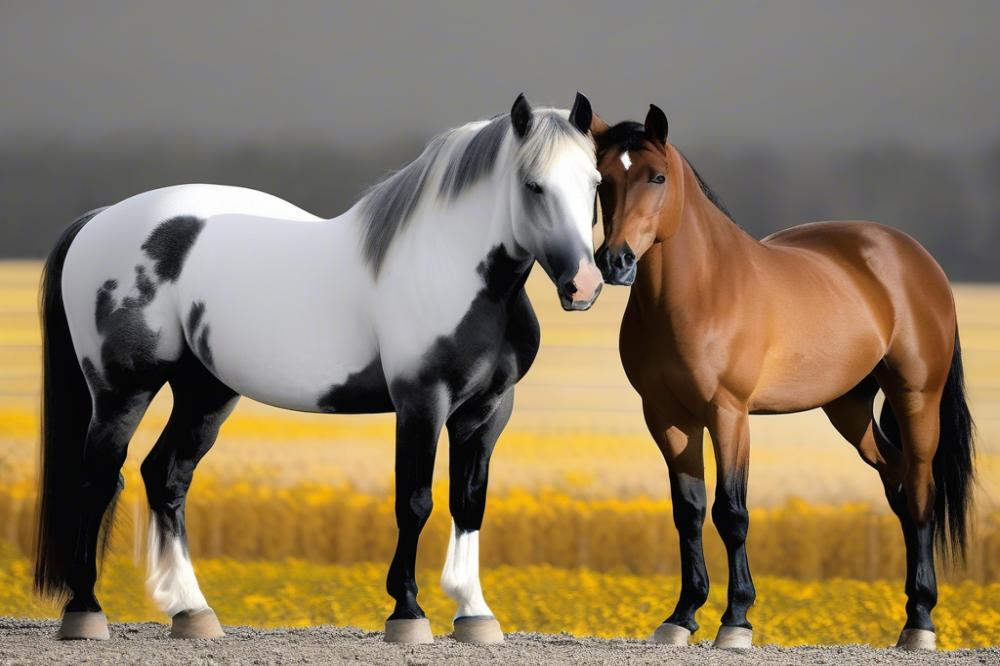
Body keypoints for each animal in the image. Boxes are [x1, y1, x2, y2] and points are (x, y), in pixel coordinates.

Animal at [34, 92, 604, 644]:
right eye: (533, 185)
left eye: (595, 183)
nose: (584, 285)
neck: (456, 271)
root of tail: (101, 219)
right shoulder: (422, 402)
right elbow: (415, 501)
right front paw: (407, 612)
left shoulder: (487, 411)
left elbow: (469, 503)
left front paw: (475, 614)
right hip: (121, 390)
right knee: (97, 480)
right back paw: (86, 611)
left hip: (206, 393)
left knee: (166, 477)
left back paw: (192, 611)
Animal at [591, 105, 974, 651]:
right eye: (602, 179)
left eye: (657, 177)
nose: (614, 260)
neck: (701, 288)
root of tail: (916, 258)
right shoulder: (666, 417)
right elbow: (688, 511)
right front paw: (681, 617)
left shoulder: (728, 413)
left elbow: (731, 512)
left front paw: (736, 620)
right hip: (849, 408)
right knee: (898, 481)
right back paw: (912, 611)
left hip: (916, 396)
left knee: (921, 491)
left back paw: (919, 622)